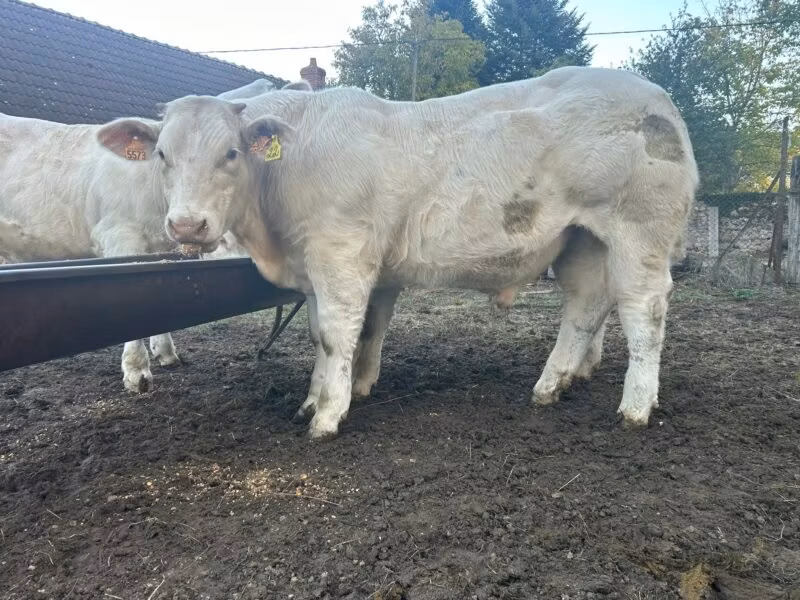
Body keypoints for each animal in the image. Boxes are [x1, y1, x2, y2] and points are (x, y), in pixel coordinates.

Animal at [0, 78, 304, 394]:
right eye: (161, 154)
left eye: (232, 152)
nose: (187, 224)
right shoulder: (119, 237)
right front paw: (137, 371)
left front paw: (166, 353)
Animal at [96, 66, 699, 440]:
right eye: (162, 154)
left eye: (230, 152)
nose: (187, 224)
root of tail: (657, 96)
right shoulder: (319, 268)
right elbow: (327, 335)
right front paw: (318, 397)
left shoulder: (342, 255)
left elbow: (338, 335)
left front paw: (327, 415)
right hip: (583, 240)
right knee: (584, 308)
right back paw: (551, 386)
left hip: (639, 231)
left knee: (643, 313)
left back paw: (635, 408)